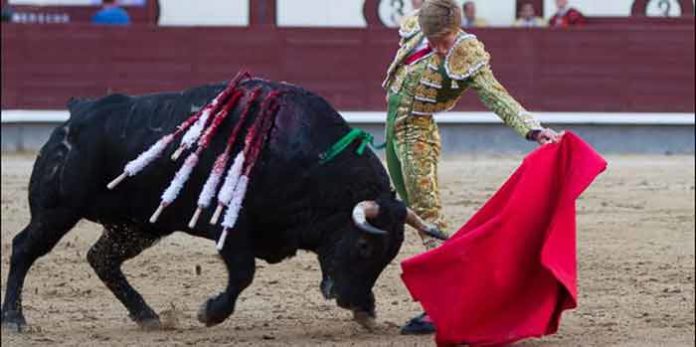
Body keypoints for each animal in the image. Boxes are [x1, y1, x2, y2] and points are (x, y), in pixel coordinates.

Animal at [1, 79, 440, 334]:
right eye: (364, 246)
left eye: (389, 255)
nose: (357, 304)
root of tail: (74, 116)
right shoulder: (232, 226)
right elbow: (243, 273)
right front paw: (210, 313)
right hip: (57, 210)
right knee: (24, 248)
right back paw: (14, 319)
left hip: (139, 225)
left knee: (102, 258)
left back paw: (147, 315)